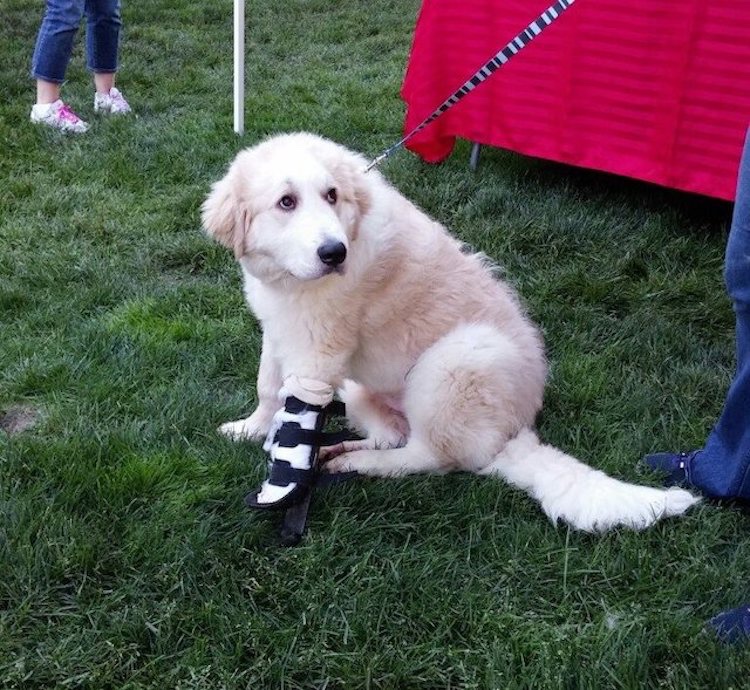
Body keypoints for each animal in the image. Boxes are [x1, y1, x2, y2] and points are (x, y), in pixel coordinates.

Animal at [203, 133, 704, 532]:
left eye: (331, 196)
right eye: (286, 202)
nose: (334, 253)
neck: (291, 280)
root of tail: (514, 432)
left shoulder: (317, 351)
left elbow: (295, 411)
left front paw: (282, 481)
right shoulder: (279, 327)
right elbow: (269, 386)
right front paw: (251, 429)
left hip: (454, 362)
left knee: (429, 456)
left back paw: (359, 461)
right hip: (366, 389)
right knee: (393, 434)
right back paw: (345, 448)